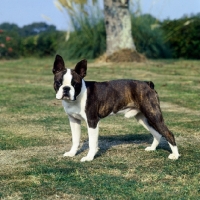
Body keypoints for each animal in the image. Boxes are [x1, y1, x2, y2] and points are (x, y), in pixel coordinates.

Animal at [52, 55, 180, 162]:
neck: (78, 97)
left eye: (75, 84)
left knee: (168, 134)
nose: (66, 88)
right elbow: (75, 139)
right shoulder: (74, 121)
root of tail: (148, 84)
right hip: (143, 118)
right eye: (58, 83)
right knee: (157, 134)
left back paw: (175, 155)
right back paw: (152, 149)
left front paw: (89, 158)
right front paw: (72, 153)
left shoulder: (92, 121)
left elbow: (92, 143)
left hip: (154, 115)